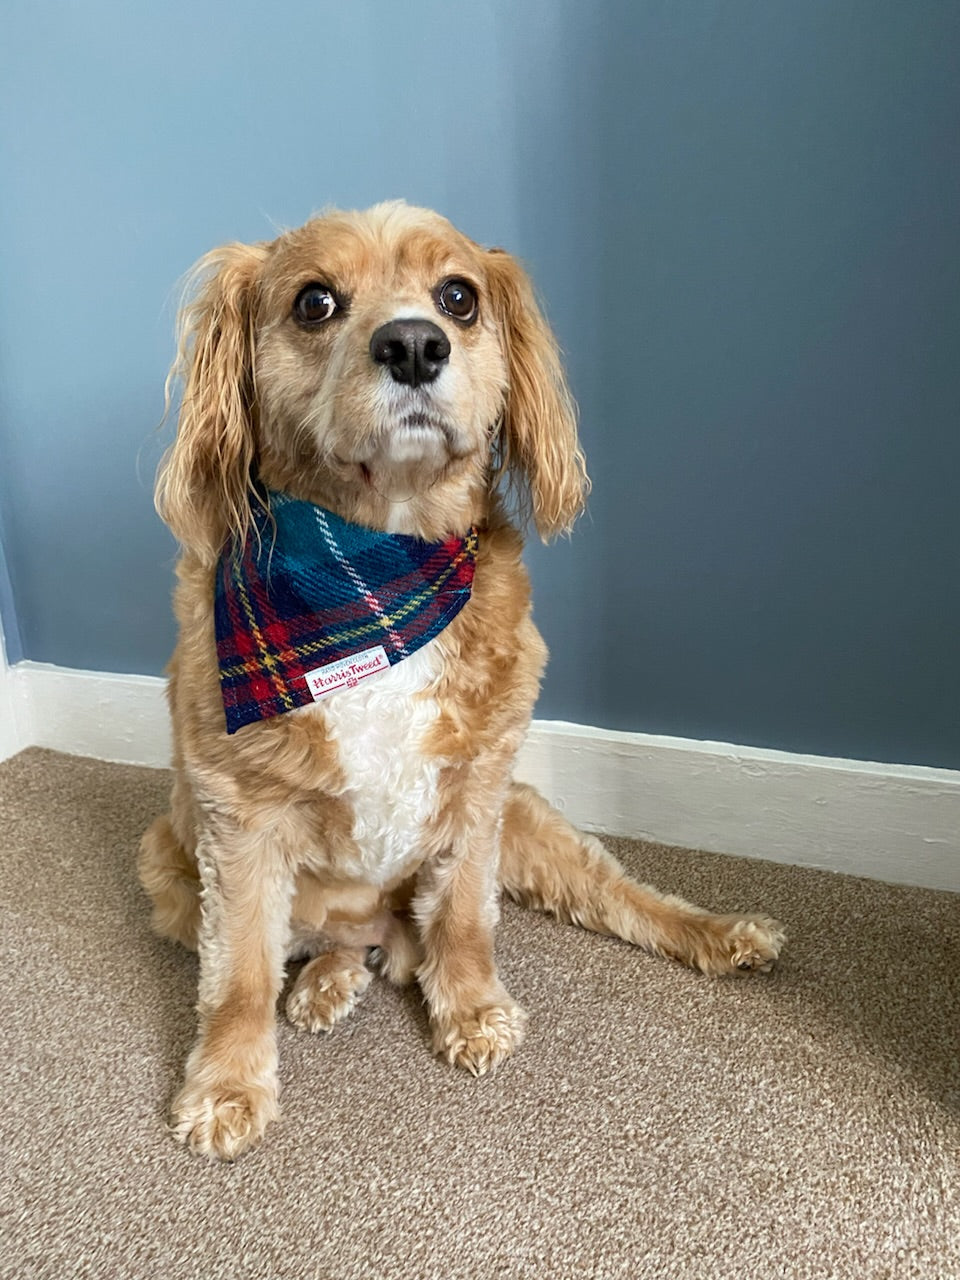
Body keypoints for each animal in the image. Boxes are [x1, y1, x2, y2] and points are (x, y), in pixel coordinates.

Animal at [142, 199, 788, 1162]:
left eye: (459, 297)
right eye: (313, 303)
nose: (415, 344)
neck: (379, 563)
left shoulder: (478, 789)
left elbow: (462, 918)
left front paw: (473, 1008)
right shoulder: (239, 822)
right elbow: (241, 973)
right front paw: (226, 1086)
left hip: (533, 822)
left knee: (624, 898)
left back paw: (723, 934)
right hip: (168, 864)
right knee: (316, 941)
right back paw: (329, 980)